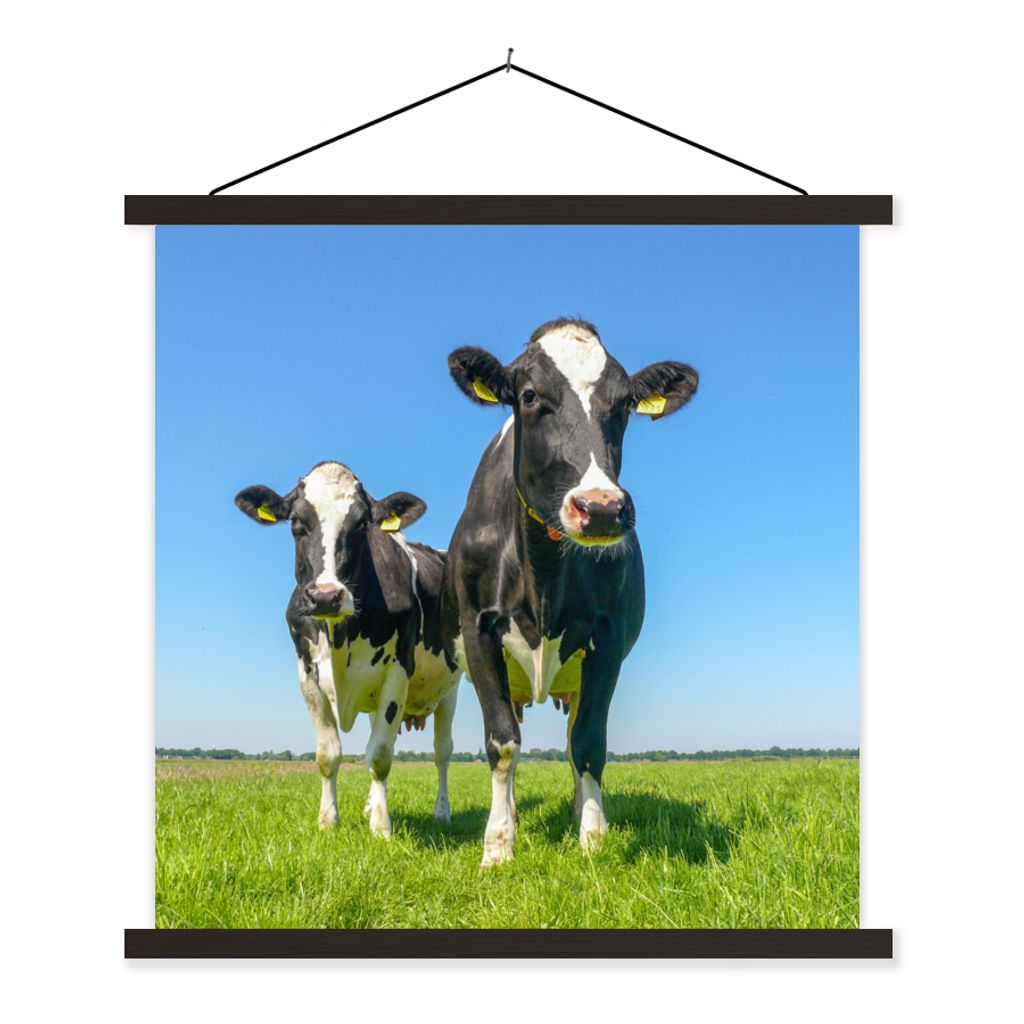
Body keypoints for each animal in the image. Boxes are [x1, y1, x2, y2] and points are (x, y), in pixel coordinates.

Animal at [235, 461, 461, 837]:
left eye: (361, 525)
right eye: (296, 523)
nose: (326, 595)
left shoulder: (397, 672)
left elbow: (381, 754)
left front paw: (381, 827)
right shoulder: (307, 676)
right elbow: (329, 753)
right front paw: (328, 820)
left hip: (451, 689)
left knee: (442, 752)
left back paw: (442, 812)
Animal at [441, 318, 698, 866]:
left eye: (624, 404)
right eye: (530, 395)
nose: (600, 508)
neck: (543, 569)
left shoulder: (607, 639)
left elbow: (588, 743)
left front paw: (593, 838)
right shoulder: (479, 631)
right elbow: (502, 742)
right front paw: (498, 844)